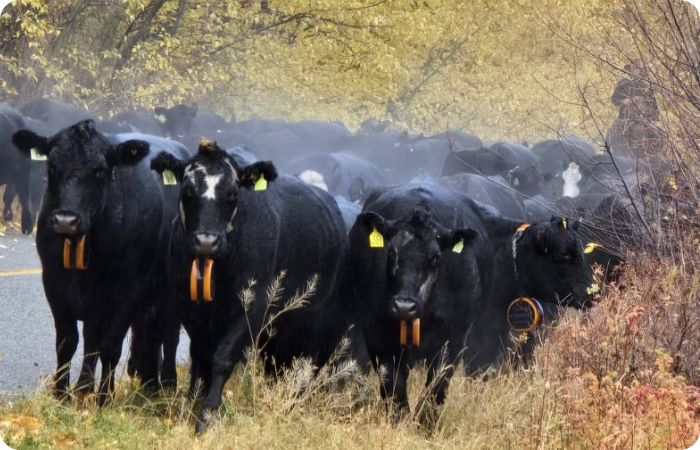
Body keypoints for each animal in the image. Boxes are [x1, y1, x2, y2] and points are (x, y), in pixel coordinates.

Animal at [13, 121, 189, 402]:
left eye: (99, 170)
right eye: (52, 167)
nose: (66, 220)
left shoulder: (129, 288)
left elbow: (110, 346)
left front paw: (105, 396)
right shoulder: (53, 281)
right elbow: (68, 341)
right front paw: (62, 393)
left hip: (173, 291)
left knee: (169, 334)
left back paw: (167, 385)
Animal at [149, 140, 348, 432]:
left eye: (233, 194)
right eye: (188, 191)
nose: (207, 241)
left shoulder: (252, 309)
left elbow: (222, 358)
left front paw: (207, 415)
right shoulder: (189, 309)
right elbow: (200, 357)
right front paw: (192, 403)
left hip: (315, 317)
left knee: (306, 361)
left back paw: (296, 402)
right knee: (277, 362)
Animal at [346, 181, 490, 420]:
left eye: (435, 258)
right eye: (391, 253)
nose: (404, 305)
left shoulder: (453, 340)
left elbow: (436, 388)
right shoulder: (377, 336)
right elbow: (394, 387)